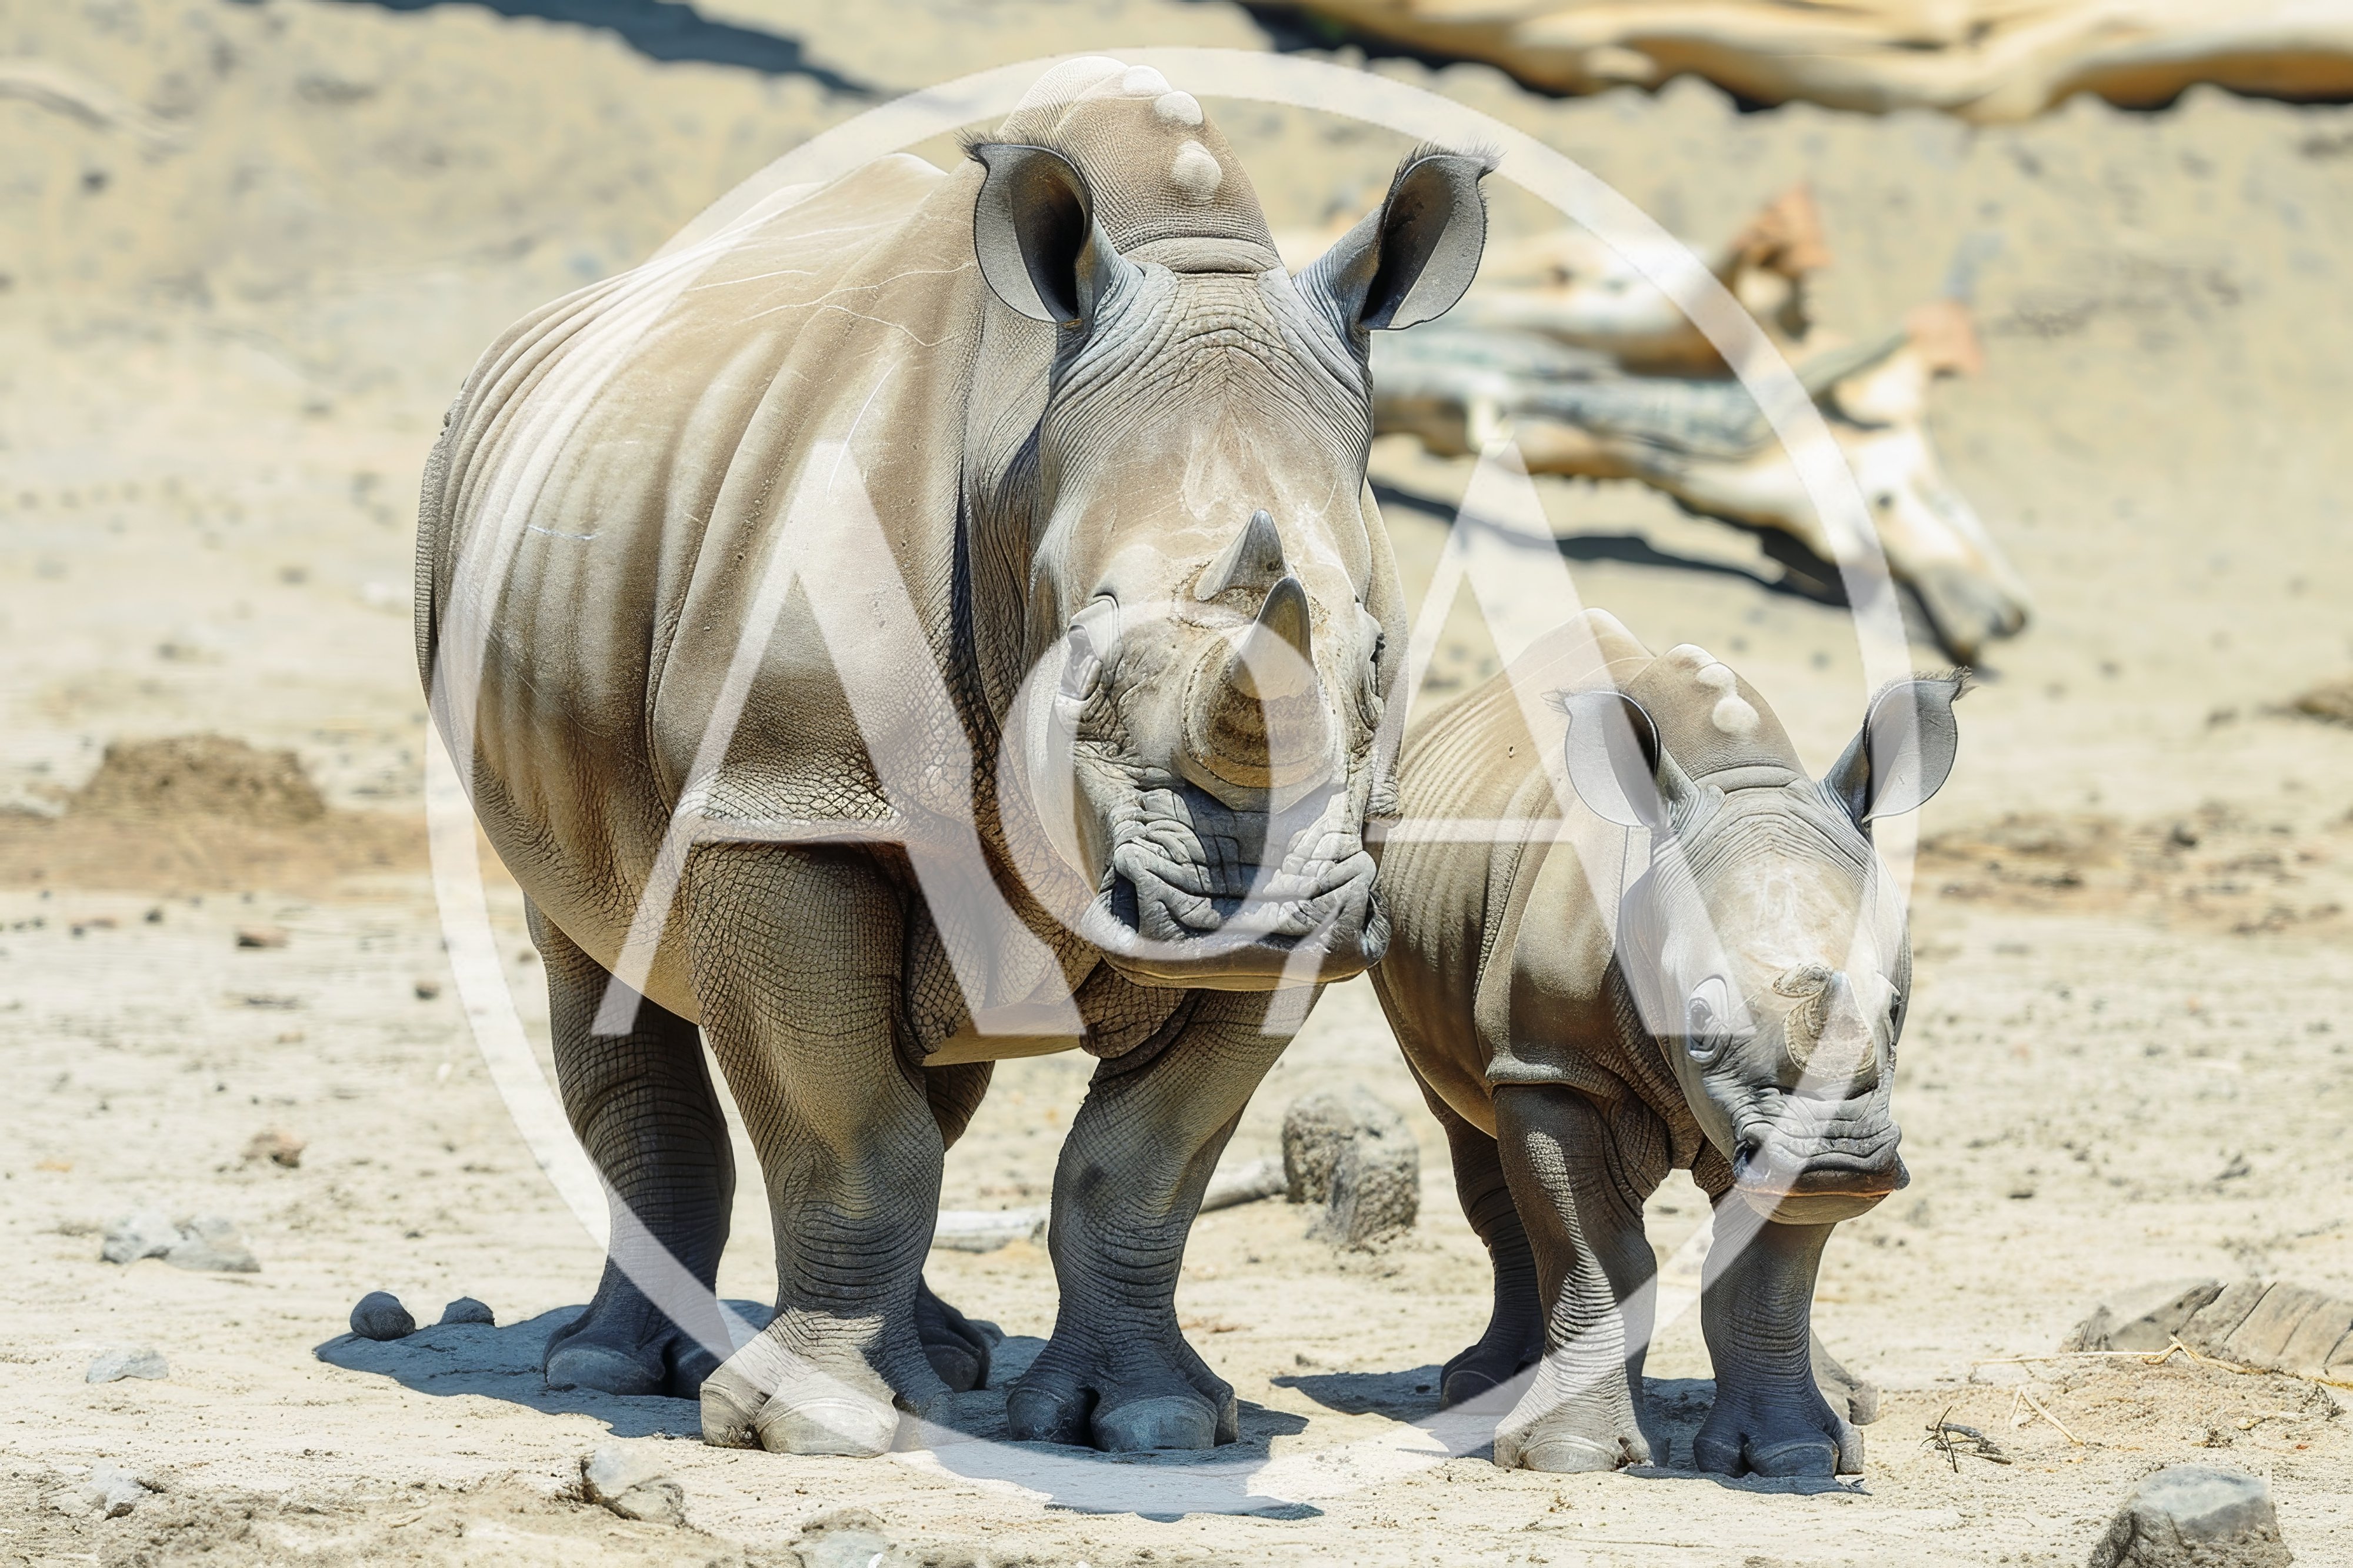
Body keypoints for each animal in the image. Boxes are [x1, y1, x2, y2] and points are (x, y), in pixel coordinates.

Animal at [415, 56, 1493, 1456]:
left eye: (1374, 652)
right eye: (1080, 653)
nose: (1252, 918)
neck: (1012, 466)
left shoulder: (1334, 855)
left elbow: (1137, 1168)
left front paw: (1148, 1421)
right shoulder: (782, 805)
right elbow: (849, 1137)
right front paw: (807, 1429)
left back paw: (944, 1361)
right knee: (596, 953)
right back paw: (614, 1371)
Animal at [1370, 609, 1961, 1476]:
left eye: (1892, 1009)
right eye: (1702, 1021)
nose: (1841, 1161)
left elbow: (1770, 1271)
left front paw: (1793, 1455)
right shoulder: (1553, 1065)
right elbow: (1594, 1252)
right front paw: (1570, 1454)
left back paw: (1850, 1400)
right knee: (1467, 1126)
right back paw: (1481, 1388)